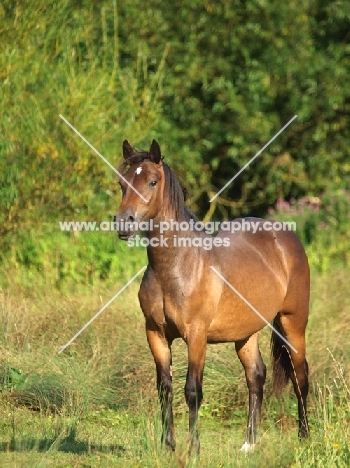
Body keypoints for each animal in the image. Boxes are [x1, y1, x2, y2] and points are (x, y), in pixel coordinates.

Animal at [115, 140, 308, 454]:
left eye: (152, 181)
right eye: (122, 183)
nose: (123, 223)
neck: (176, 266)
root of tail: (286, 238)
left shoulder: (196, 336)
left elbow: (192, 390)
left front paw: (193, 448)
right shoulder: (155, 333)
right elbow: (165, 388)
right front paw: (168, 446)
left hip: (293, 323)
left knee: (299, 376)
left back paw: (304, 438)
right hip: (246, 333)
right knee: (256, 375)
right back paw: (249, 444)